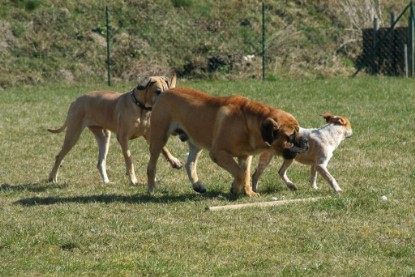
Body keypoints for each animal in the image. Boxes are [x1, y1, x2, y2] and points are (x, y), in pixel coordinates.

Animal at [48, 74, 182, 184]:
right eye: (158, 91)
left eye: (168, 90)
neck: (141, 108)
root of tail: (76, 100)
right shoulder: (122, 137)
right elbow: (128, 158)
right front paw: (133, 179)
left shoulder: (149, 134)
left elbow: (164, 148)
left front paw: (174, 161)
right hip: (73, 134)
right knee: (59, 156)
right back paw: (52, 178)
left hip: (104, 137)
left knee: (100, 162)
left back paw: (106, 181)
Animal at [146, 87, 308, 195]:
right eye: (291, 137)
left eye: (298, 131)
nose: (305, 141)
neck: (248, 123)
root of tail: (165, 92)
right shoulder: (218, 153)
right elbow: (240, 173)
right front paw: (236, 188)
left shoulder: (245, 156)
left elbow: (245, 174)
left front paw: (249, 193)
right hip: (159, 137)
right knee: (151, 165)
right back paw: (151, 189)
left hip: (196, 143)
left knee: (190, 164)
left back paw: (198, 185)